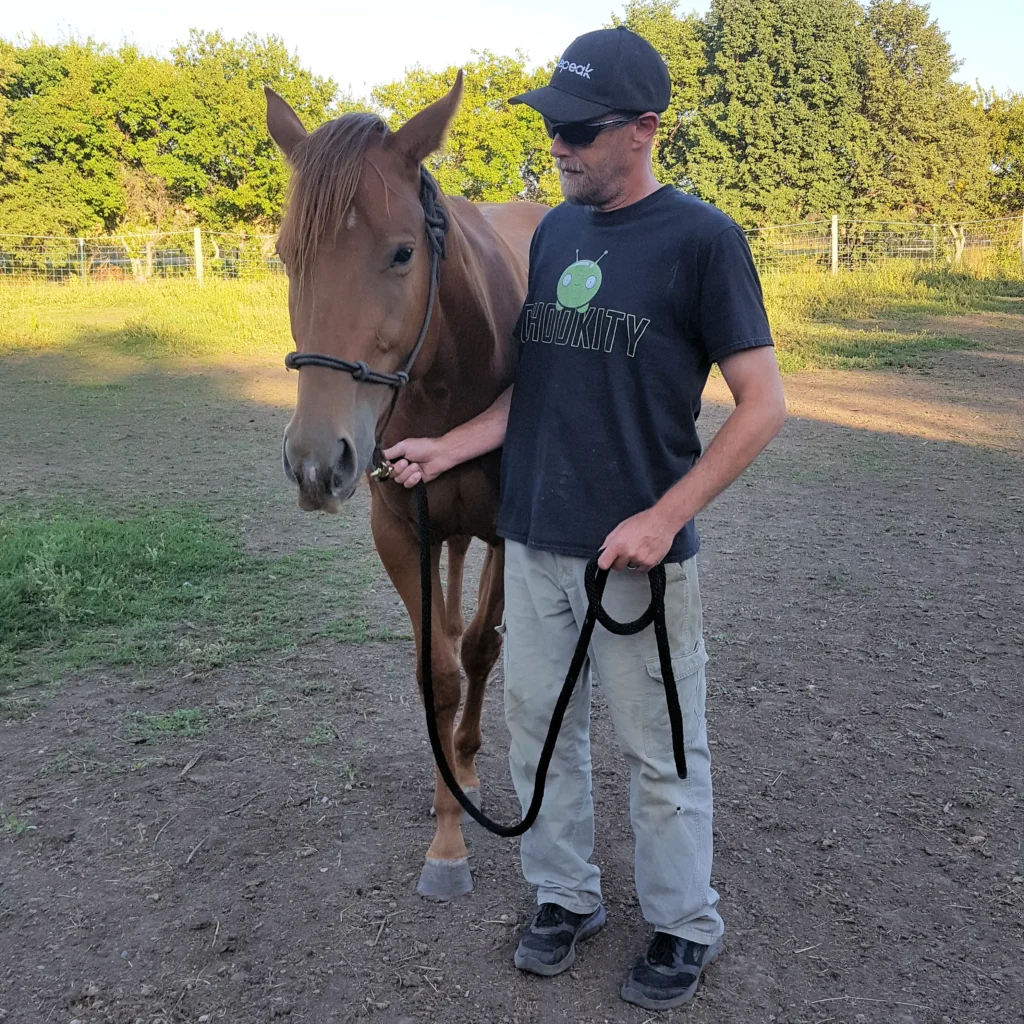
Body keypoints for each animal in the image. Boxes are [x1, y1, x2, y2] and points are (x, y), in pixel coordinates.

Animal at [265, 75, 548, 900]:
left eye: (400, 252)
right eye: (286, 255)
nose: (315, 462)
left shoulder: (503, 532)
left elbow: (479, 653)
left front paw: (460, 795)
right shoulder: (400, 532)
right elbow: (436, 670)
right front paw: (445, 813)